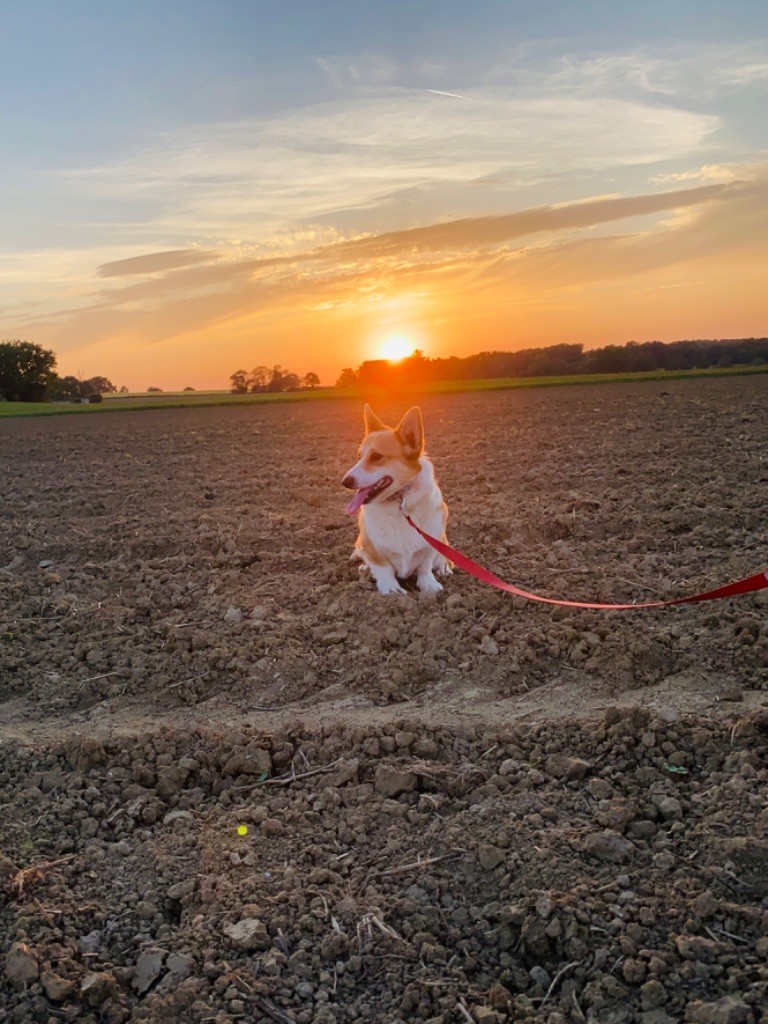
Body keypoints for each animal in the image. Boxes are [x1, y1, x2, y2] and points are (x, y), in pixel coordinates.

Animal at [342, 403, 450, 598]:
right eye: (359, 456)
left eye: (376, 456)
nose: (344, 481)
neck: (398, 504)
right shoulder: (370, 546)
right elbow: (383, 568)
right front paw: (391, 589)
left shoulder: (432, 540)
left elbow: (425, 566)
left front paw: (429, 585)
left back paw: (444, 567)